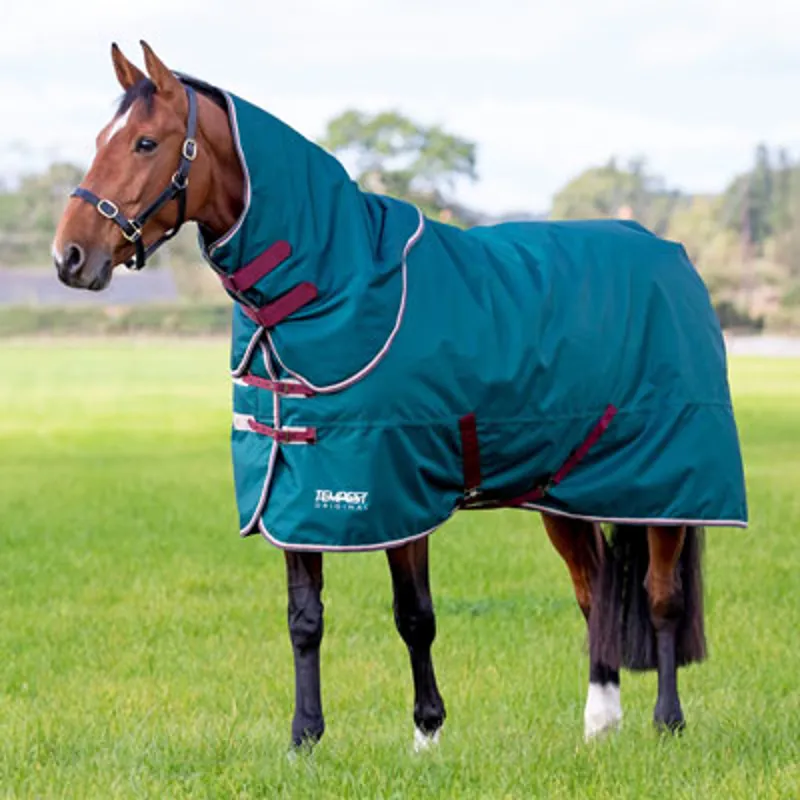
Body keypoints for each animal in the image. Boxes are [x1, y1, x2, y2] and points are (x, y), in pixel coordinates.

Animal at [52, 42, 747, 751]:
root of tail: (672, 257)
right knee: (596, 589)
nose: (69, 256)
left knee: (661, 597)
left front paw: (427, 735)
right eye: (102, 139)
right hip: (567, 489)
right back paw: (600, 722)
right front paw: (305, 739)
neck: (332, 277)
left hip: (668, 486)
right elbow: (304, 617)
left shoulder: (395, 487)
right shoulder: (296, 488)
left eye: (145, 142)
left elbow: (414, 615)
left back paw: (668, 721)